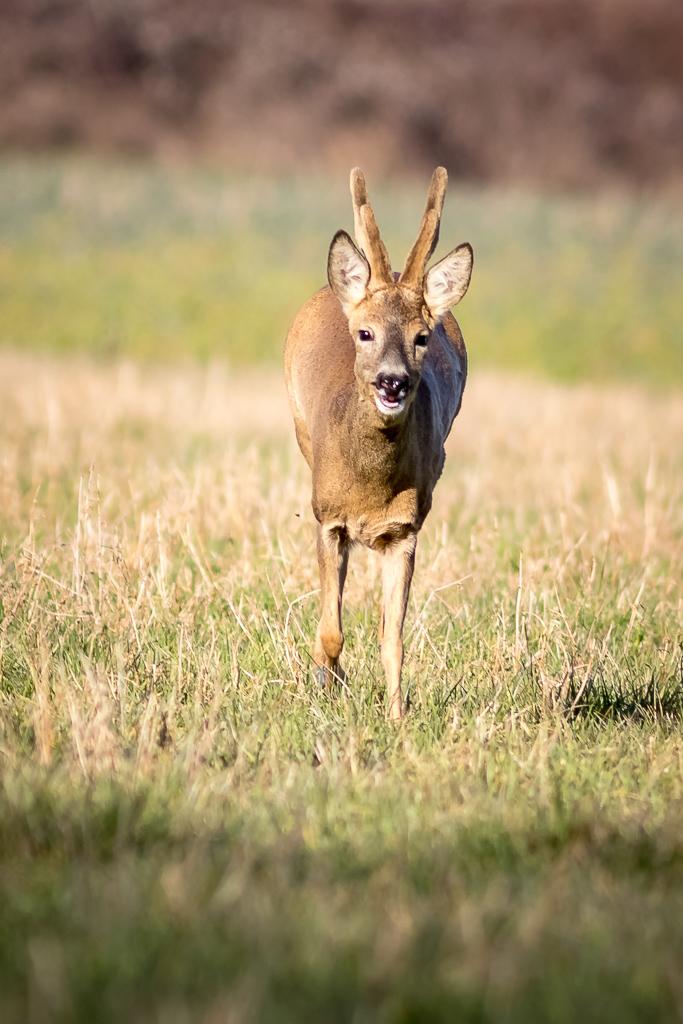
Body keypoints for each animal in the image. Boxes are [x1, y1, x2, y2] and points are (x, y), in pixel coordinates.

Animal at [282, 165, 471, 720]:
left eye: (421, 337)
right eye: (364, 334)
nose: (393, 381)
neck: (370, 485)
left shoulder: (405, 530)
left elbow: (394, 638)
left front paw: (397, 716)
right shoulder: (327, 518)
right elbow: (330, 631)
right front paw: (325, 691)